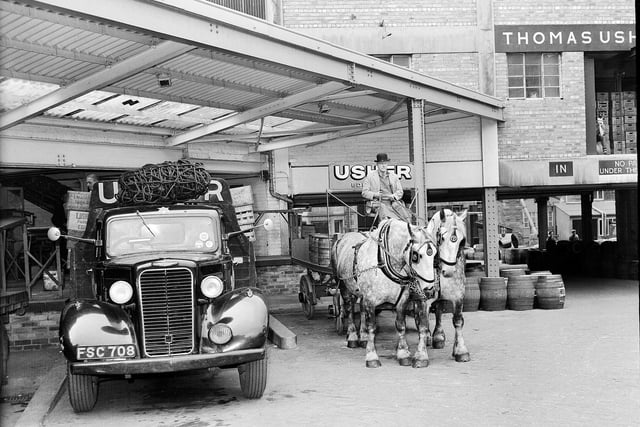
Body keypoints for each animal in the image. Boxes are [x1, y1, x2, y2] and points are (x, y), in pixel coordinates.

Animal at [330, 219, 440, 370]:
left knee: (361, 309)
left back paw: (363, 338)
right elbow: (372, 327)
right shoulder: (371, 300)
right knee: (349, 310)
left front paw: (403, 354)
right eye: (416, 255)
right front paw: (372, 357)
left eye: (434, 254)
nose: (429, 290)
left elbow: (401, 326)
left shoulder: (402, 300)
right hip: (344, 287)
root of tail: (343, 236)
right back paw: (352, 337)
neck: (384, 261)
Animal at [424, 209, 470, 362]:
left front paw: (460, 350)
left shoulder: (458, 294)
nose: (449, 271)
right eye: (442, 237)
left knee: (439, 310)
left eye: (462, 241)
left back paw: (438, 337)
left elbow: (458, 321)